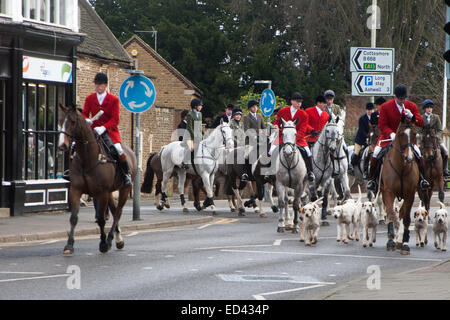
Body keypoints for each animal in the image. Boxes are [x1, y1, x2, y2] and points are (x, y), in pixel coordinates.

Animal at [58, 105, 136, 255]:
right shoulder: (75, 190)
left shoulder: (102, 193)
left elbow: (101, 219)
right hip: (110, 192)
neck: (87, 158)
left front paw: (103, 243)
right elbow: (74, 218)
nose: (62, 145)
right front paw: (69, 245)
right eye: (60, 120)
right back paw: (118, 240)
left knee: (118, 213)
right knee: (114, 210)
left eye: (72, 121)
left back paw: (111, 239)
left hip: (124, 189)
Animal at [382, 116, 420, 254]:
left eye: (414, 133)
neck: (402, 167)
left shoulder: (410, 194)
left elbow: (406, 218)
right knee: (392, 213)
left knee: (402, 213)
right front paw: (391, 240)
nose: (409, 157)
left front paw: (404, 243)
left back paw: (399, 240)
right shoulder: (388, 192)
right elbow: (391, 214)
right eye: (401, 134)